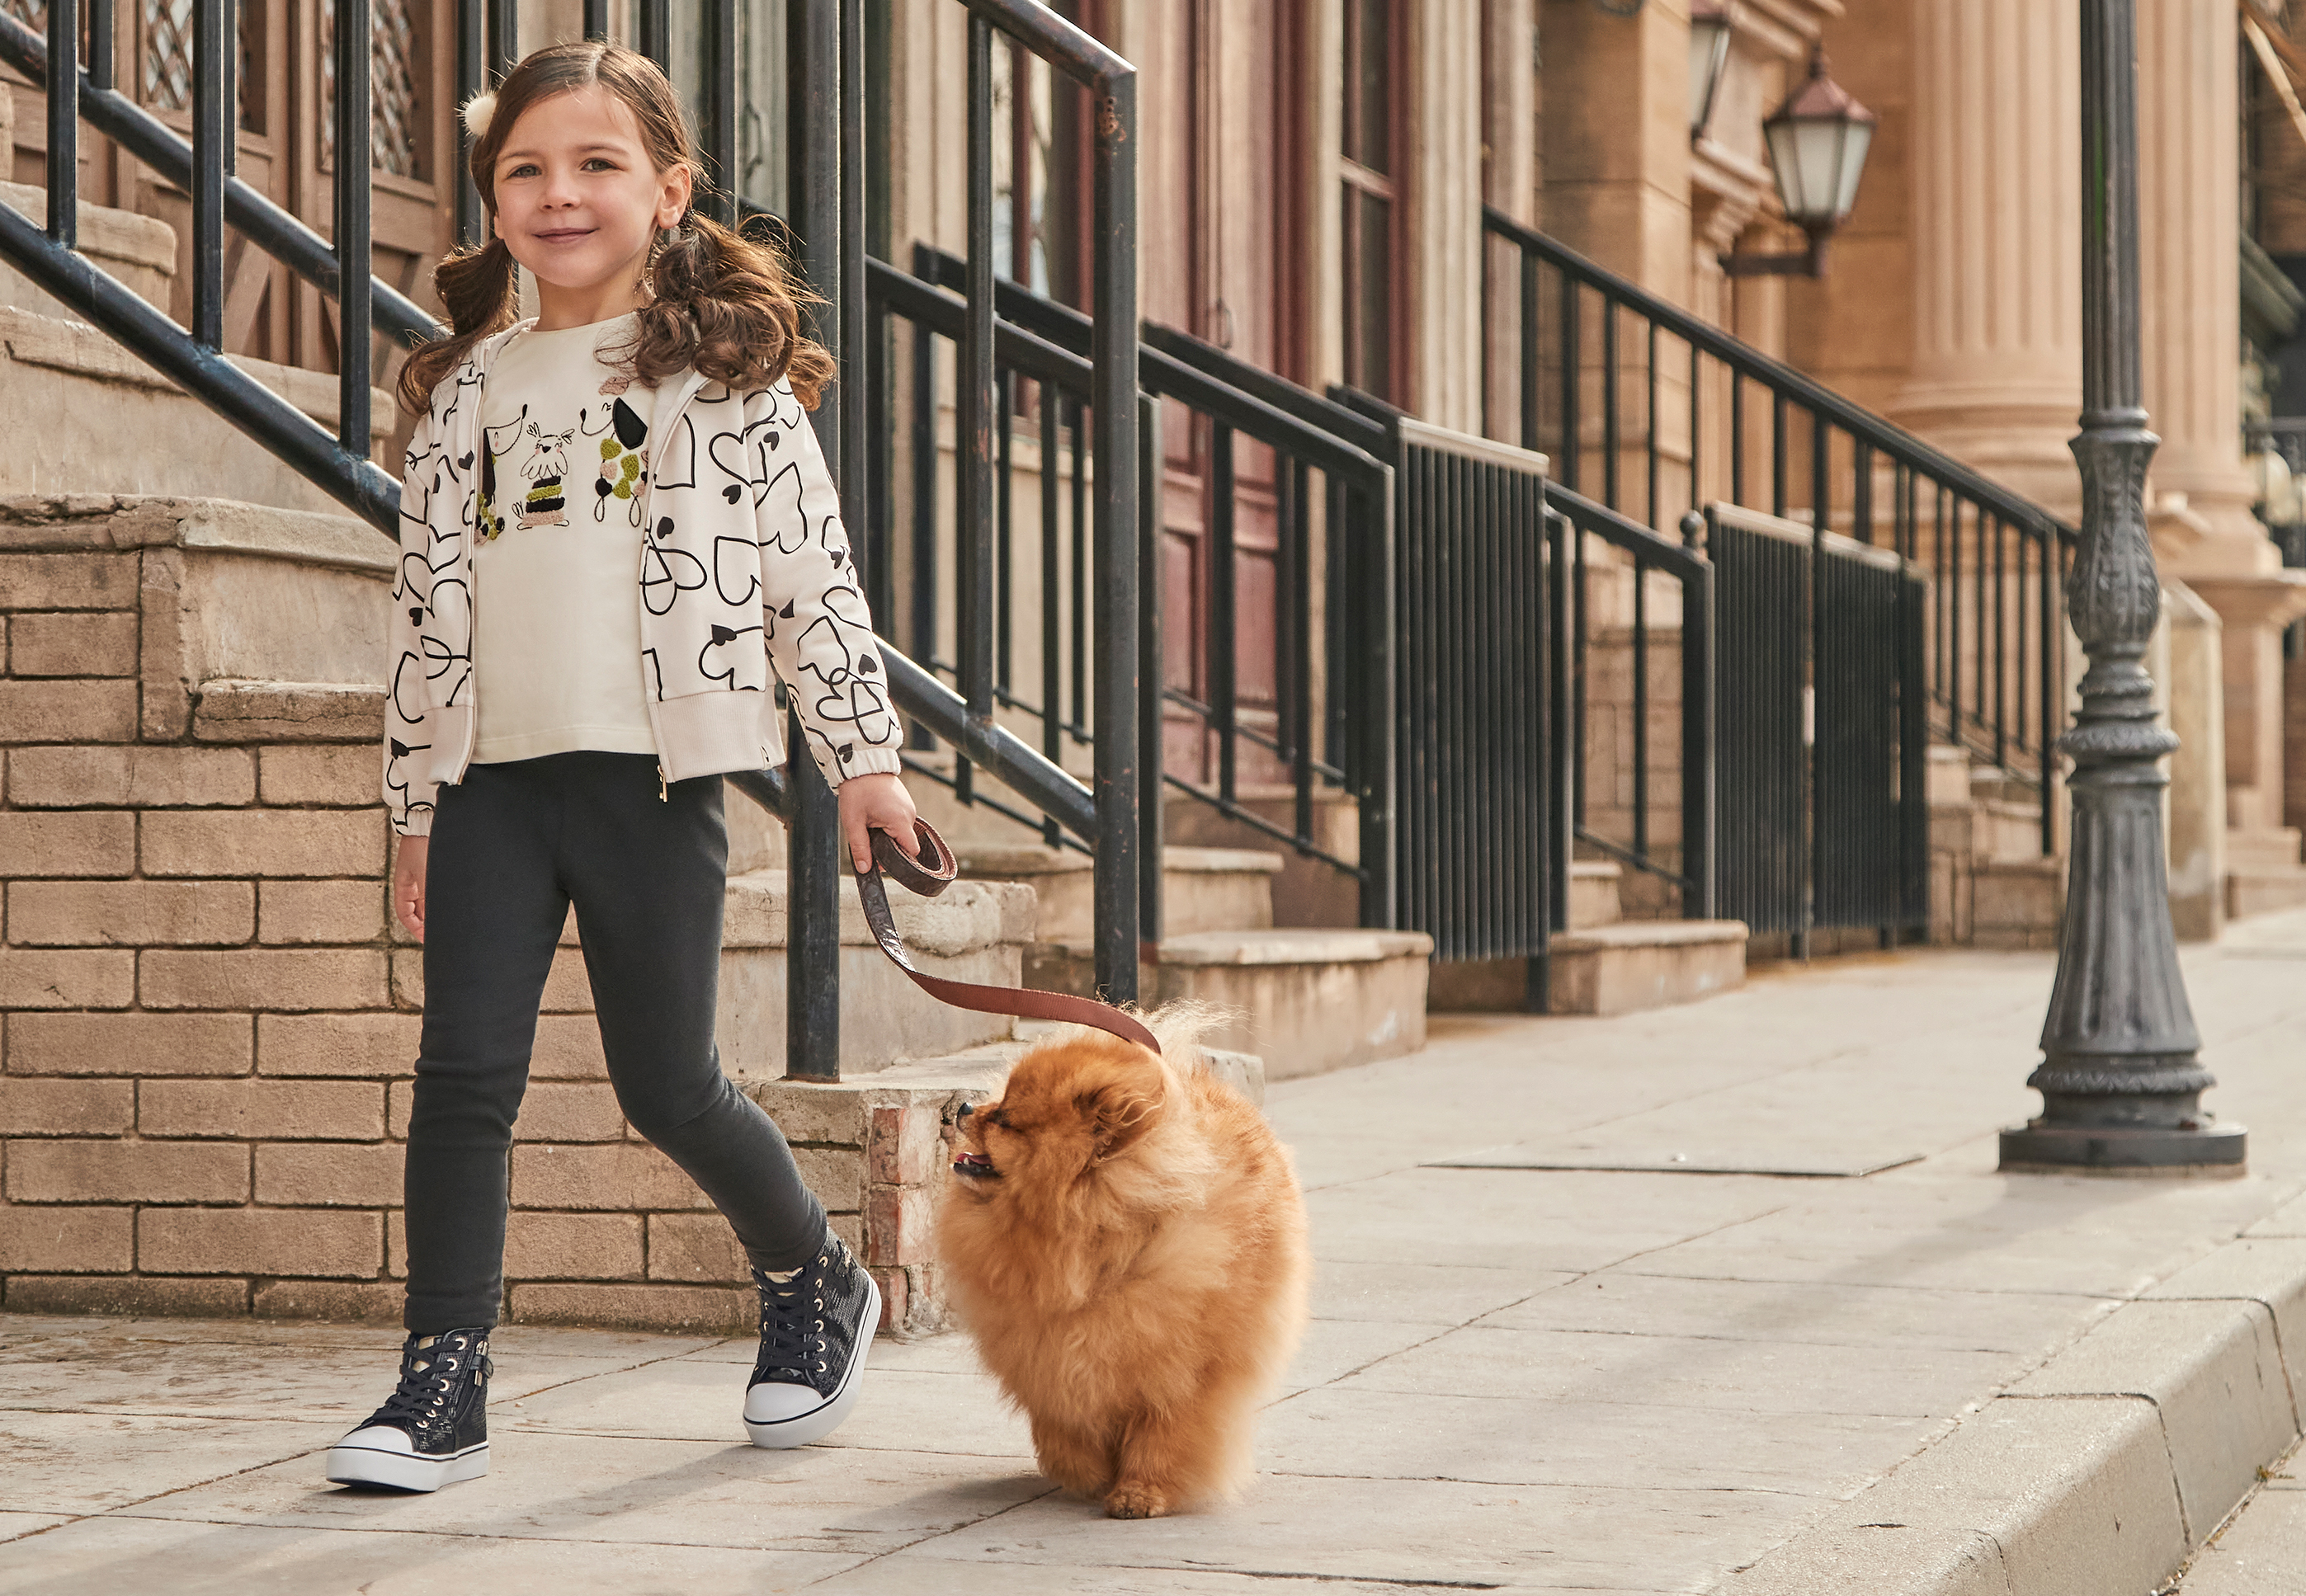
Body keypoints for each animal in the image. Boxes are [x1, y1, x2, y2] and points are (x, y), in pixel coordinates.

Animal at [931, 1010, 1300, 1522]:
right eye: (996, 1099)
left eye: (1004, 1119)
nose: (964, 1106)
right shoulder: (1046, 1350)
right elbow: (1064, 1422)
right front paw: (1086, 1473)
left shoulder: (1180, 1368)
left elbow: (1164, 1432)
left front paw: (1140, 1493)